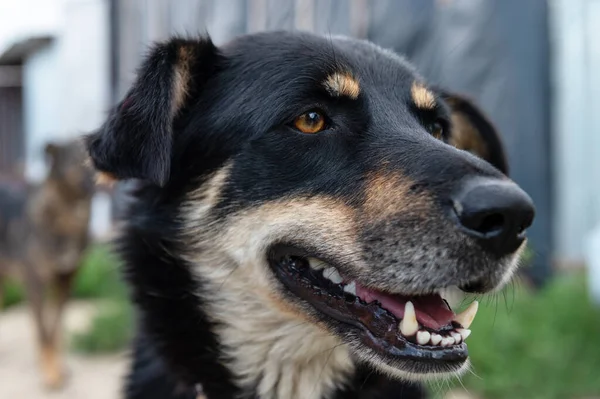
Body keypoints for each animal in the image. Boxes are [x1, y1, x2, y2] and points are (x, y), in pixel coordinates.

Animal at [0, 139, 94, 390]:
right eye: (78, 159)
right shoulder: (35, 283)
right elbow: (45, 333)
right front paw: (50, 375)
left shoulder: (65, 282)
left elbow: (56, 330)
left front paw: (58, 368)